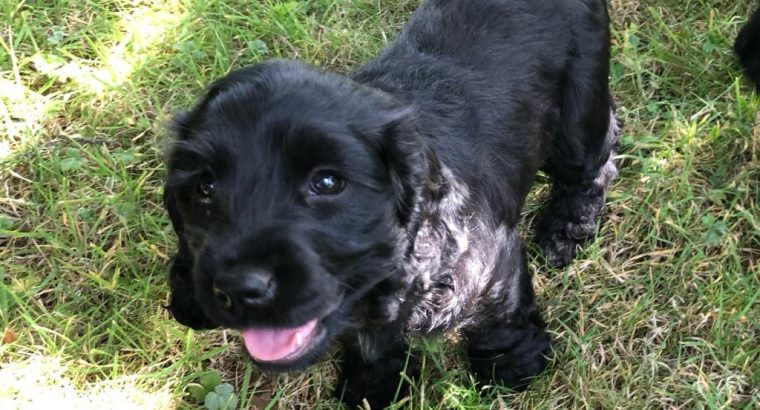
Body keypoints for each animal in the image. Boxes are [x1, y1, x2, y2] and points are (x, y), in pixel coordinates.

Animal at [162, 0, 616, 406]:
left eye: (327, 181)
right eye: (204, 186)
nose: (239, 290)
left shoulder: (493, 268)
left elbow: (500, 321)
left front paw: (512, 367)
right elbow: (373, 344)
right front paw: (371, 387)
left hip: (580, 106)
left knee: (594, 162)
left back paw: (564, 233)